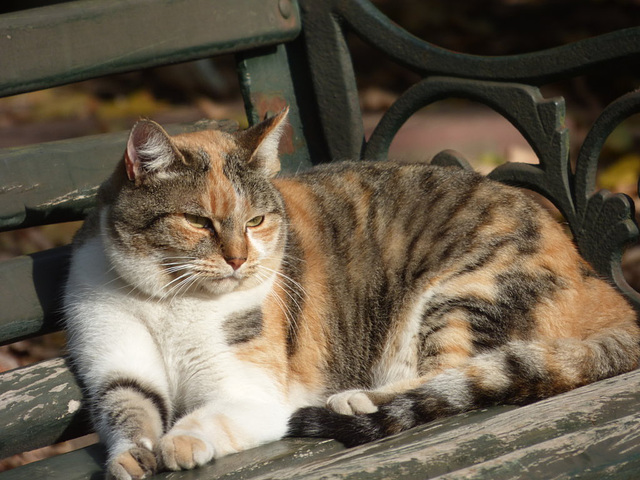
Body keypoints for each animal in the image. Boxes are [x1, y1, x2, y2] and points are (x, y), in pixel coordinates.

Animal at [63, 109, 640, 480]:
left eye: (256, 221)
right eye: (198, 221)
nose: (239, 259)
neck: (170, 302)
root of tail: (598, 282)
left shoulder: (254, 390)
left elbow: (211, 416)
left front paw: (179, 442)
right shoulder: (116, 368)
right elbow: (127, 411)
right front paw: (132, 459)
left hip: (466, 293)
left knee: (453, 373)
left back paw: (352, 399)